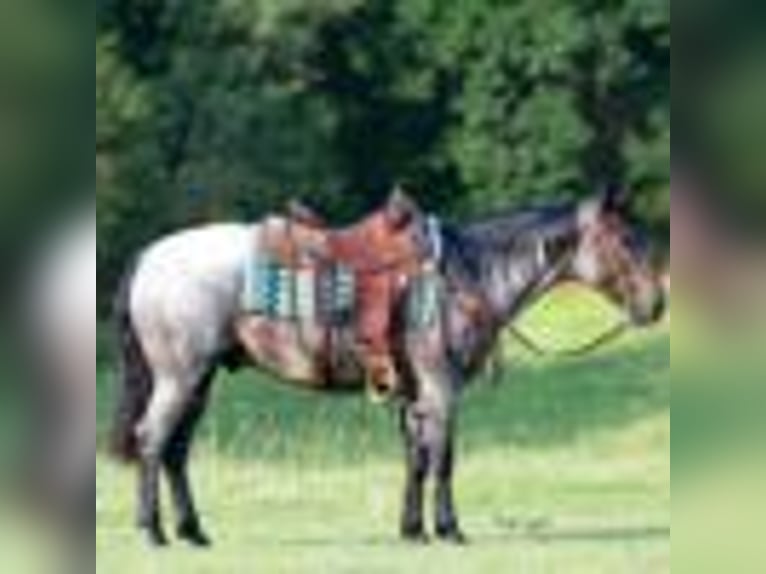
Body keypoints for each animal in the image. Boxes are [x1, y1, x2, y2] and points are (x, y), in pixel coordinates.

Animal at [110, 190, 665, 547]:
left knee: (176, 452)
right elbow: (443, 460)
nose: (655, 306)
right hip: (180, 377)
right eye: (625, 239)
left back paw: (193, 532)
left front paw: (413, 530)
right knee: (152, 440)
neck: (464, 276)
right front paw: (450, 530)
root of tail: (149, 258)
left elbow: (416, 460)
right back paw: (153, 532)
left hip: (199, 381)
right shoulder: (442, 389)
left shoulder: (415, 395)